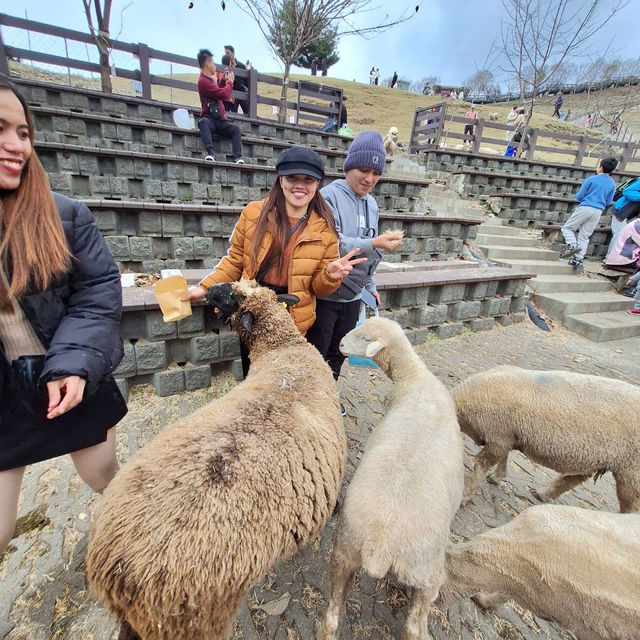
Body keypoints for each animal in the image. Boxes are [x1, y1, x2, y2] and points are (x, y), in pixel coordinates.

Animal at [318, 318, 462, 636]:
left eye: (365, 337)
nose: (341, 344)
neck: (415, 378)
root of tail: (380, 546)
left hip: (344, 550)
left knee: (332, 615)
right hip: (427, 574)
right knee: (414, 627)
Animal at [452, 368, 640, 512]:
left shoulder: (499, 435)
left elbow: (480, 466)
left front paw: (465, 496)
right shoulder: (507, 435)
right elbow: (504, 457)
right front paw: (498, 477)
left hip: (631, 473)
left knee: (631, 509)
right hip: (593, 460)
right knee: (571, 479)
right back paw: (542, 494)